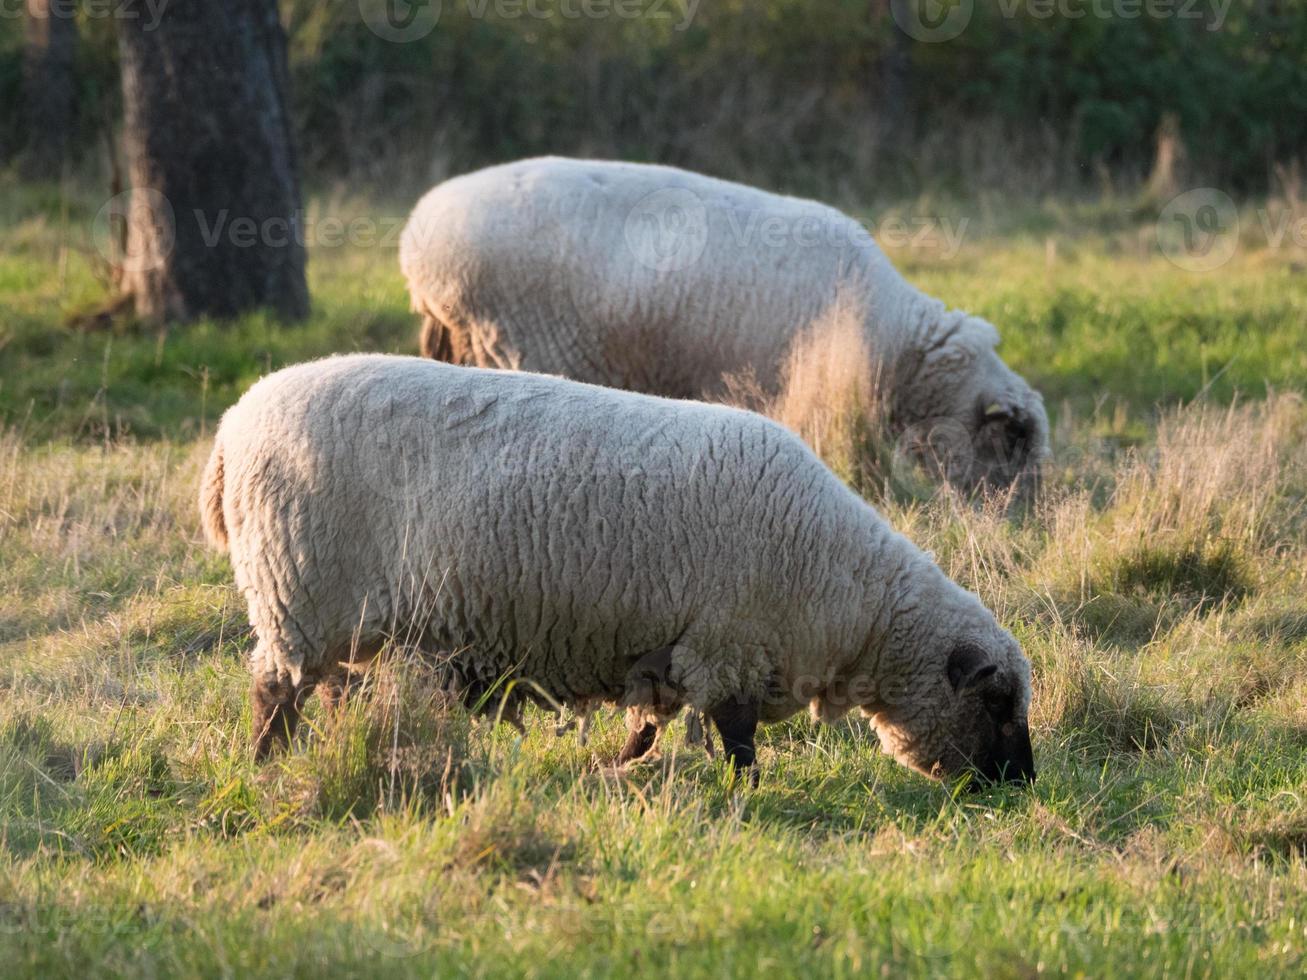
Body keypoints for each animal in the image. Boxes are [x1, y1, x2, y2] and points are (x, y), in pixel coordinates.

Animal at [198, 358, 1035, 789]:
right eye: (996, 703)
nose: (1023, 786)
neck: (850, 590)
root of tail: (232, 428)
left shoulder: (667, 650)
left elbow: (645, 728)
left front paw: (609, 768)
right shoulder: (728, 644)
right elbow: (735, 738)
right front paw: (742, 792)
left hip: (327, 607)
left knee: (322, 688)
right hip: (298, 588)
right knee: (274, 690)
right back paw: (264, 764)